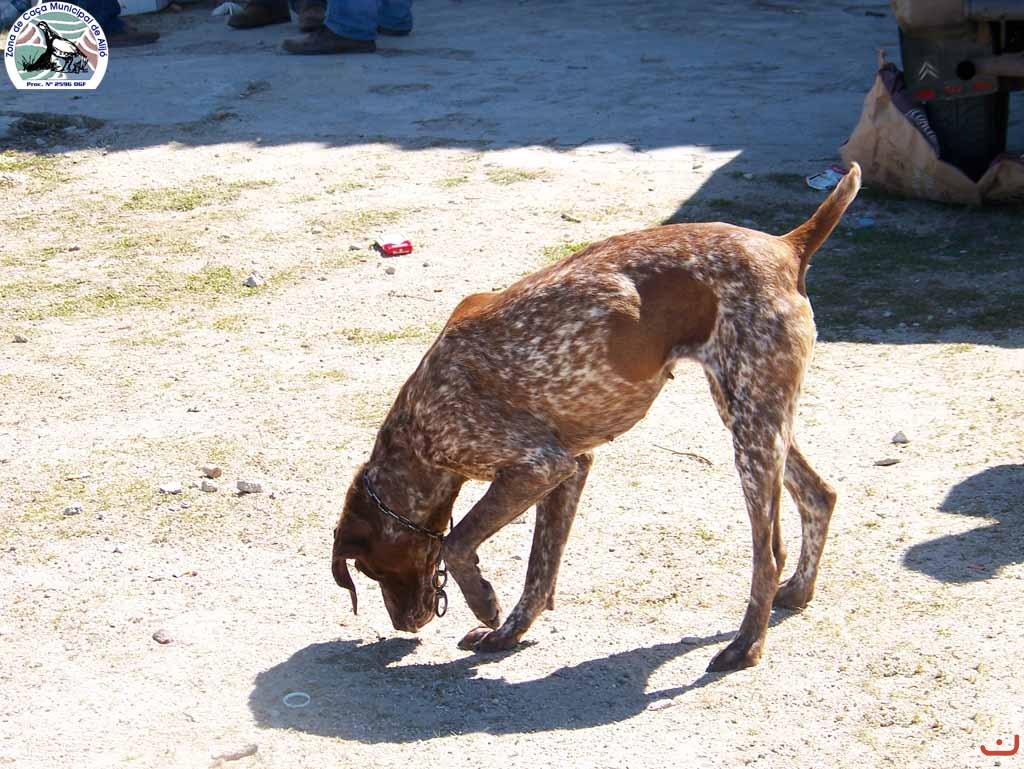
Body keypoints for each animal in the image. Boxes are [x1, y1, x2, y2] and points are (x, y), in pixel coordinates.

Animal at [332, 163, 860, 672]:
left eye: (371, 569)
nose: (402, 625)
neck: (414, 430)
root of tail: (788, 245)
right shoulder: (570, 468)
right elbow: (539, 570)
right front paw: (509, 634)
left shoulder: (538, 465)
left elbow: (456, 543)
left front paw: (484, 603)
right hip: (750, 412)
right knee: (820, 495)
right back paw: (797, 592)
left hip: (751, 428)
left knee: (768, 555)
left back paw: (745, 647)